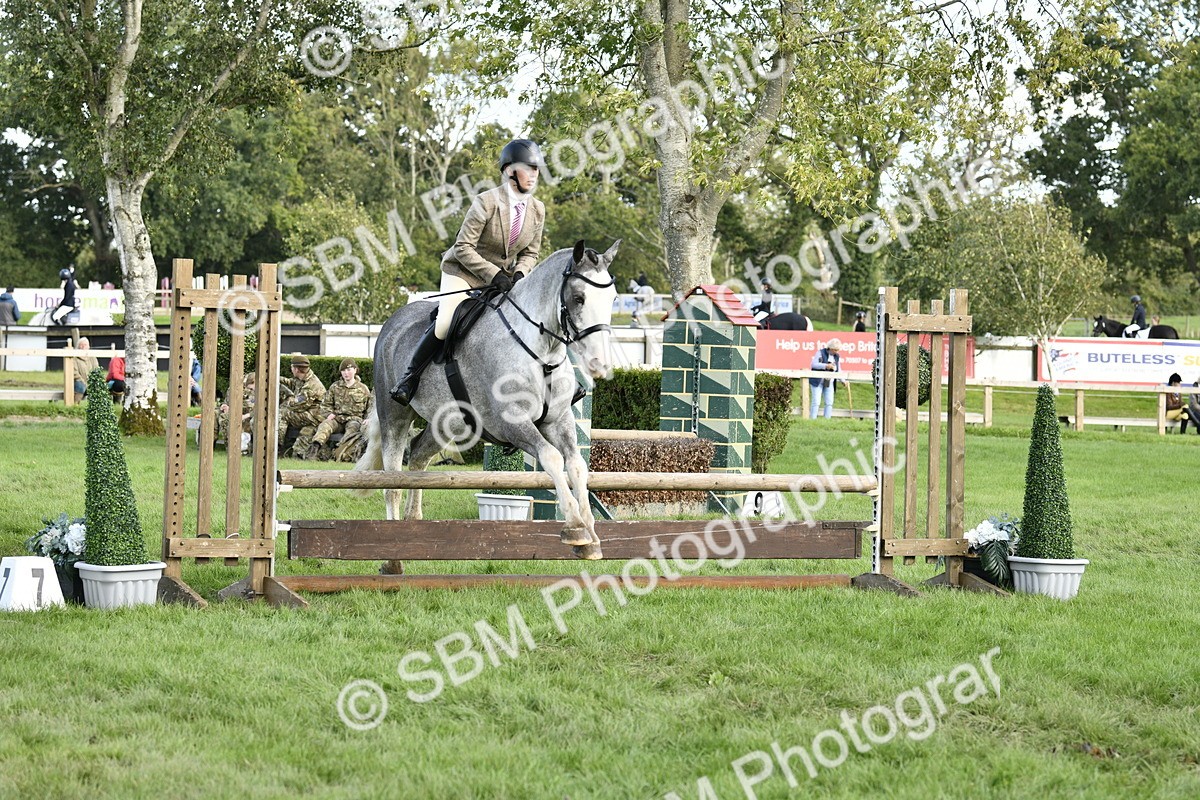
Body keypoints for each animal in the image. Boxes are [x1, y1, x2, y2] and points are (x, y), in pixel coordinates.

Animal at [356, 240, 621, 562]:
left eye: (613, 299)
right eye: (579, 298)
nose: (599, 363)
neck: (542, 351)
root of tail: (392, 322)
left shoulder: (559, 420)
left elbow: (577, 465)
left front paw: (591, 536)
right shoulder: (512, 423)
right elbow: (552, 458)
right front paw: (575, 529)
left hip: (449, 423)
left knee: (418, 455)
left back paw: (413, 524)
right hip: (394, 412)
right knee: (392, 480)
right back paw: (391, 547)